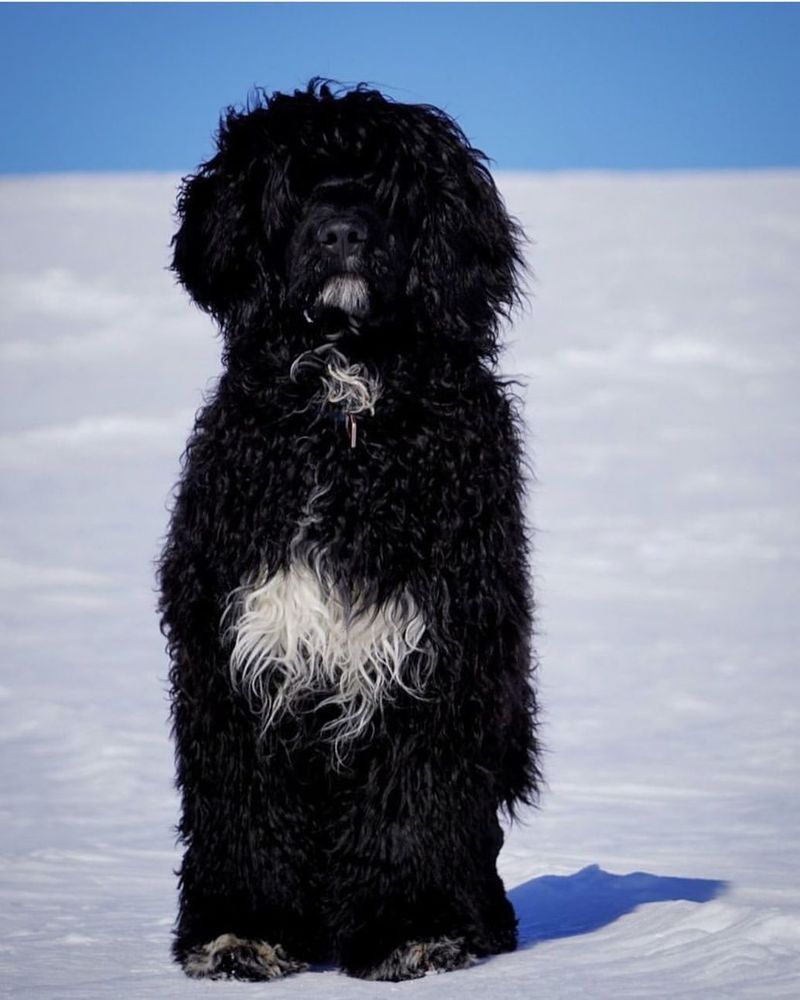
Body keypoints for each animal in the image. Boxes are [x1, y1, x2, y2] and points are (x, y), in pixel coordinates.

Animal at [159, 80, 540, 984]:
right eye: (294, 185)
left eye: (391, 187)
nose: (341, 233)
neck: (346, 416)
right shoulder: (234, 655)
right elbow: (243, 810)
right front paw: (242, 932)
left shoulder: (434, 654)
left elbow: (411, 808)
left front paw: (415, 929)